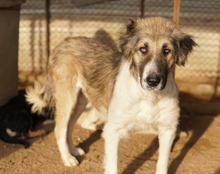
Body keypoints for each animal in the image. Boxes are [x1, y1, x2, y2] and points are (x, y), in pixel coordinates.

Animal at [25, 17, 196, 174]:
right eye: (143, 49)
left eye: (167, 51)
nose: (153, 81)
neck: (149, 97)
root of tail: (63, 43)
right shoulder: (113, 129)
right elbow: (112, 165)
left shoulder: (168, 129)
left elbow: (162, 163)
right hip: (67, 99)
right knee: (59, 129)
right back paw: (67, 158)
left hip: (80, 102)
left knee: (69, 127)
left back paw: (73, 150)